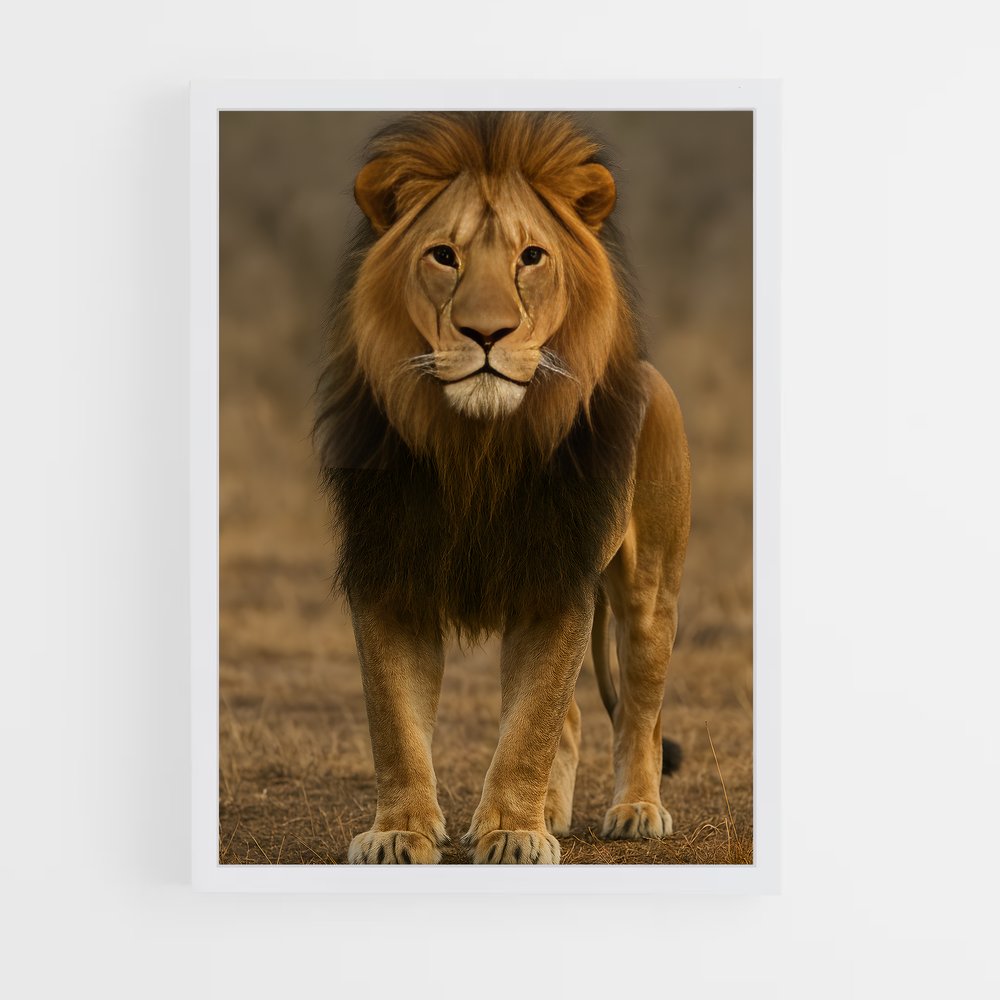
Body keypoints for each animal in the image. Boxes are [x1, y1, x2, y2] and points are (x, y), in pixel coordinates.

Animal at [314, 112, 691, 864]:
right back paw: (554, 811)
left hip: (650, 592)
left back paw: (636, 809)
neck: (475, 448)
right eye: (444, 256)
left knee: (639, 711)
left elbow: (531, 723)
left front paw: (513, 834)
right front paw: (399, 831)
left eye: (532, 258)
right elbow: (394, 721)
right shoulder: (390, 574)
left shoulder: (557, 580)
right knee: (574, 716)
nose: (486, 332)